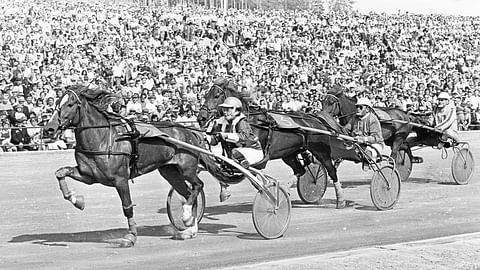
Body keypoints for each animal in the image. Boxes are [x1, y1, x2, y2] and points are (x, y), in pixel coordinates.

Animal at [197, 78, 362, 209]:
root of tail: (317, 118)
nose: (201, 118)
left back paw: (340, 200)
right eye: (205, 95)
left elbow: (255, 179)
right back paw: (286, 195)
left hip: (321, 151)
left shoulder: (260, 158)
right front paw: (224, 190)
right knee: (301, 170)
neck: (253, 121)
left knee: (332, 171)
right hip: (289, 154)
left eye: (216, 95)